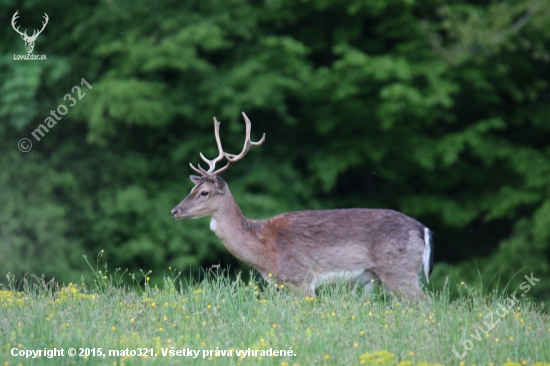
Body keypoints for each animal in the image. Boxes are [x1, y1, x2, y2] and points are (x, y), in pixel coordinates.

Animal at [172, 112, 436, 300]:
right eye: (191, 189)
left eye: (204, 192)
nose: (175, 210)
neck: (264, 248)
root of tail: (423, 230)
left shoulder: (301, 277)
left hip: (399, 271)